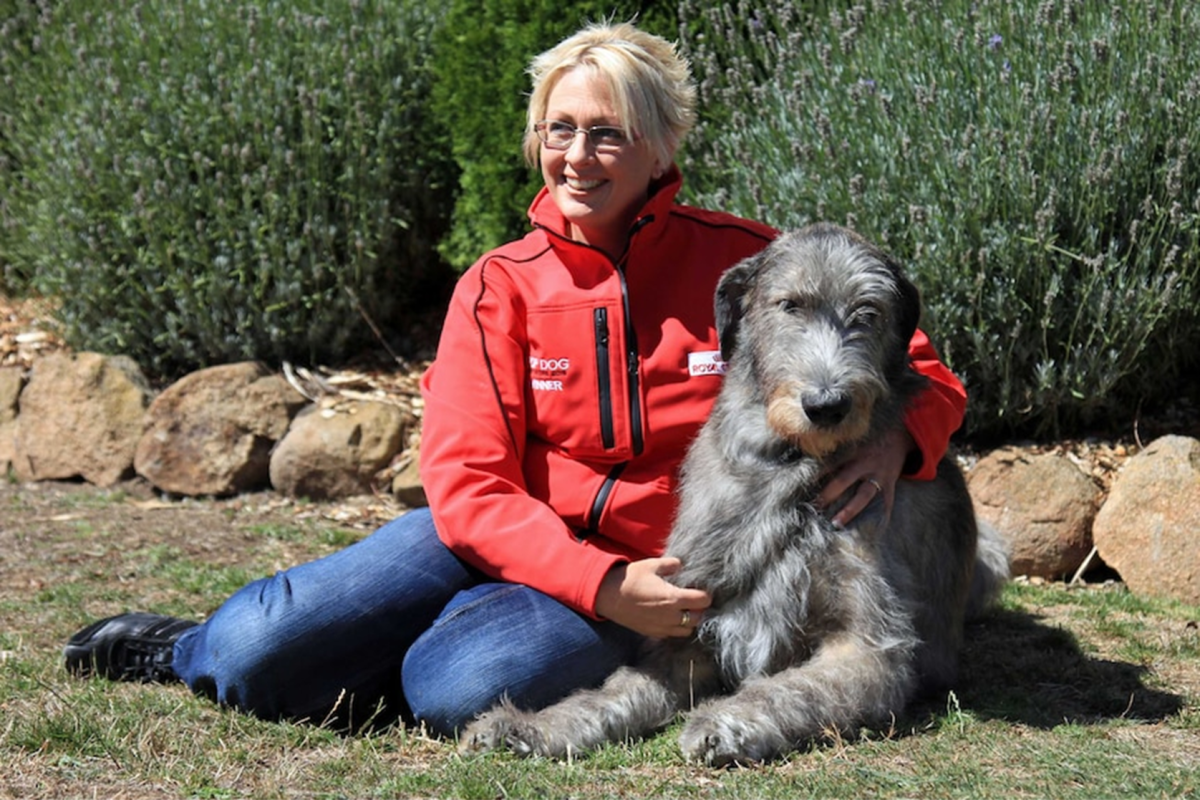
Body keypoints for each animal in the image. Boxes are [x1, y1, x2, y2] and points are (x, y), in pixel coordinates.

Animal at [463, 221, 1008, 767]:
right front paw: (531, 726)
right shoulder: (685, 624)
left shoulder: (870, 646)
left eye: (868, 311)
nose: (826, 406)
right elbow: (617, 689)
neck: (788, 466)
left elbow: (792, 688)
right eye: (789, 305)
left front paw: (725, 722)